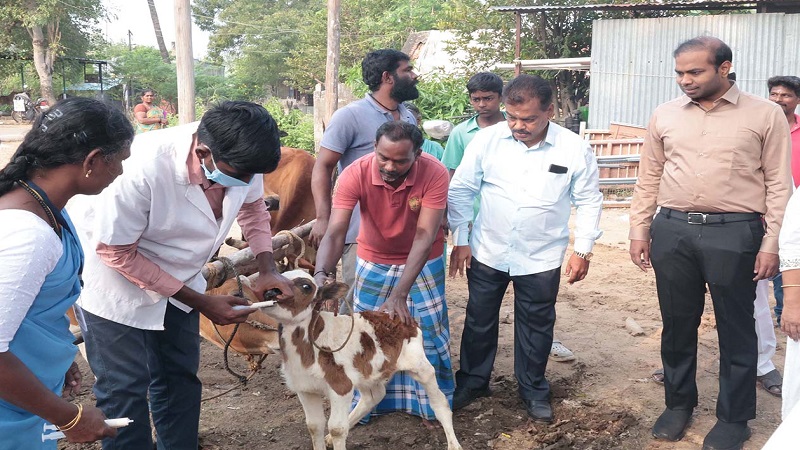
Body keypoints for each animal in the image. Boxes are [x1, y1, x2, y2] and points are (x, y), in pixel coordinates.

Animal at [238, 270, 463, 450]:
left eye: (306, 286)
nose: (270, 294)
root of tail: (400, 316)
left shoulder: (341, 385)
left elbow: (337, 428)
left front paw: (335, 434)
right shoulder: (305, 387)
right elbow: (314, 426)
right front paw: (323, 437)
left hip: (419, 365)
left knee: (440, 403)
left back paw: (454, 444)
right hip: (366, 372)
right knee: (374, 395)